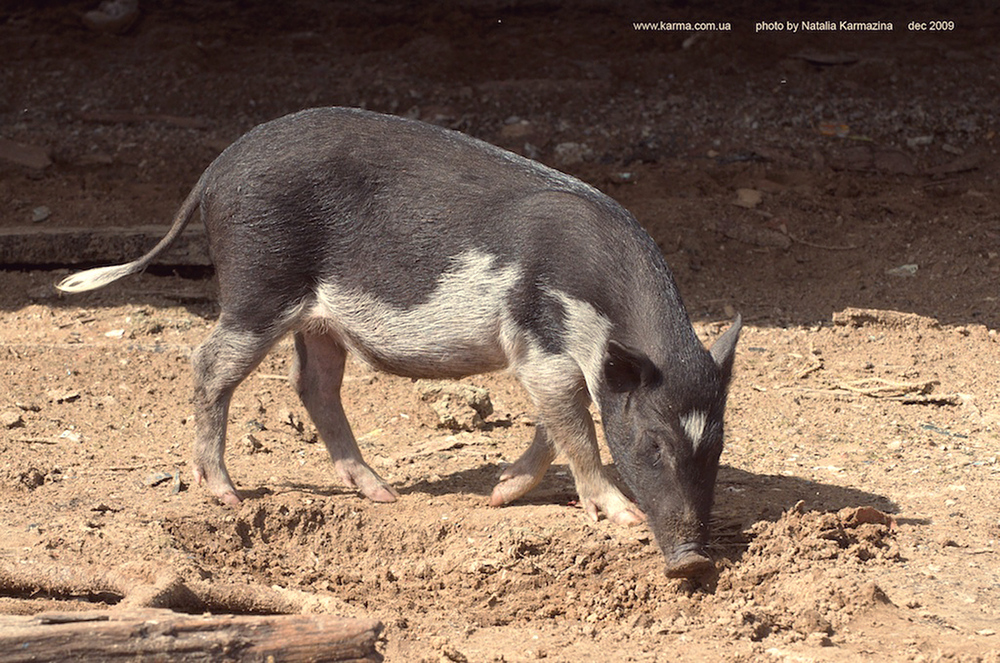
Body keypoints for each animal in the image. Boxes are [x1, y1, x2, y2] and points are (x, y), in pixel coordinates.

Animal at [56, 106, 744, 580]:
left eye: (718, 444)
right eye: (652, 443)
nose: (694, 563)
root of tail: (217, 168)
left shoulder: (560, 363)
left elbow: (557, 424)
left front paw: (498, 494)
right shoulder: (541, 344)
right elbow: (574, 427)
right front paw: (622, 517)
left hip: (317, 320)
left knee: (313, 385)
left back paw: (381, 493)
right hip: (259, 286)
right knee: (209, 364)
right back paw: (225, 493)